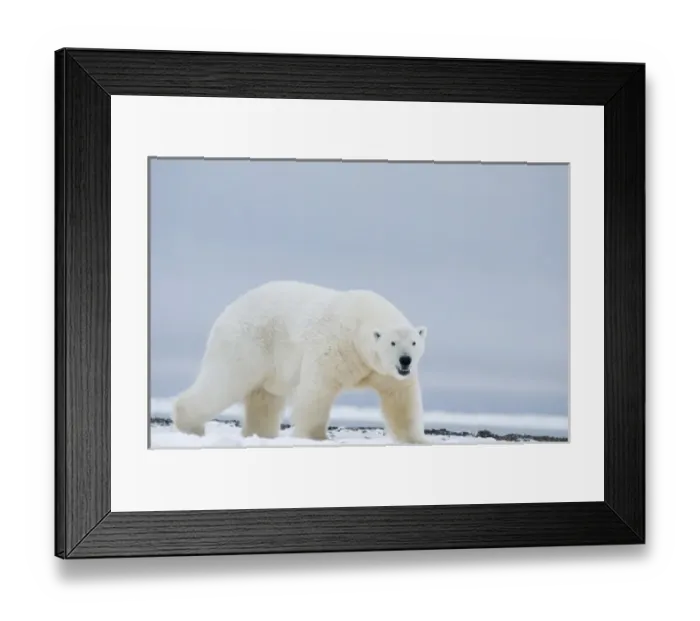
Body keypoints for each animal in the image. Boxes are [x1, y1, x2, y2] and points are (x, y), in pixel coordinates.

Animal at [172, 280, 429, 444]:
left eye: (414, 342)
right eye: (392, 343)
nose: (405, 360)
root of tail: (229, 309)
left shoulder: (386, 372)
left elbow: (401, 399)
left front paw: (416, 440)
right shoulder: (335, 348)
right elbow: (317, 391)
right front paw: (314, 437)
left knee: (264, 399)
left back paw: (261, 435)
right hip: (248, 344)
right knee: (224, 382)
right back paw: (190, 426)